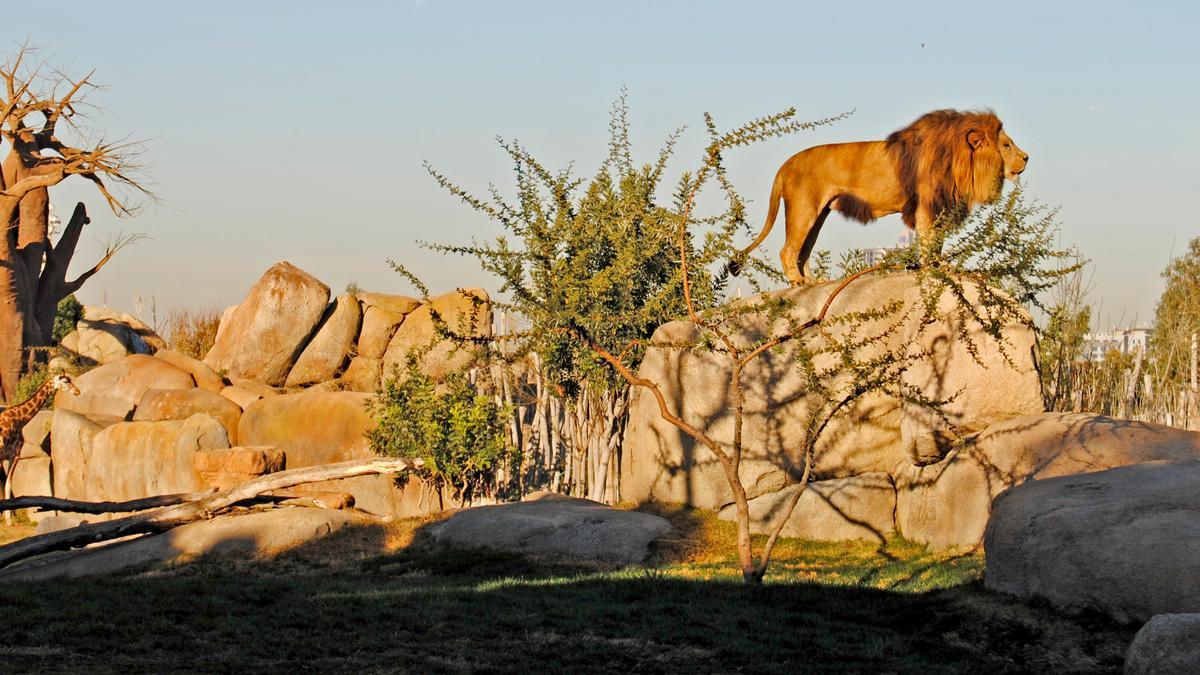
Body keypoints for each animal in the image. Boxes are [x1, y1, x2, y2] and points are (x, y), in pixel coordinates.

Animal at [0, 372, 79, 514]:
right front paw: (9, 518)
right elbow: (8, 486)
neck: (21, 418)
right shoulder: (15, 455)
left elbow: (4, 487)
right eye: (65, 381)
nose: (77, 391)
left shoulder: (5, 457)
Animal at [729, 109, 1032, 282]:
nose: (1027, 157)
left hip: (818, 215)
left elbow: (937, 244)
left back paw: (813, 283)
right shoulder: (926, 206)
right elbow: (929, 243)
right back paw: (799, 283)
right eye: (1006, 145)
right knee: (788, 250)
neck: (959, 161)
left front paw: (940, 267)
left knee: (802, 252)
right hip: (803, 209)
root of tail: (784, 165)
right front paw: (932, 270)